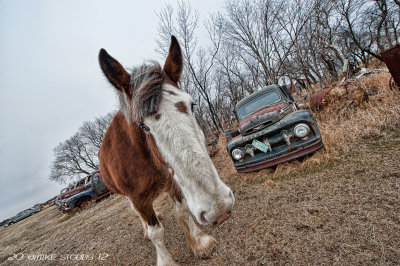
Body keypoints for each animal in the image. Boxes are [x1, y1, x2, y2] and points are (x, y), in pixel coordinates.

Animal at [97, 35, 234, 266]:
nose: (219, 209)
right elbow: (156, 232)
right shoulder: (139, 199)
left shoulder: (174, 182)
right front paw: (166, 260)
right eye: (143, 126)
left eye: (192, 105)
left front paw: (199, 243)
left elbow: (183, 212)